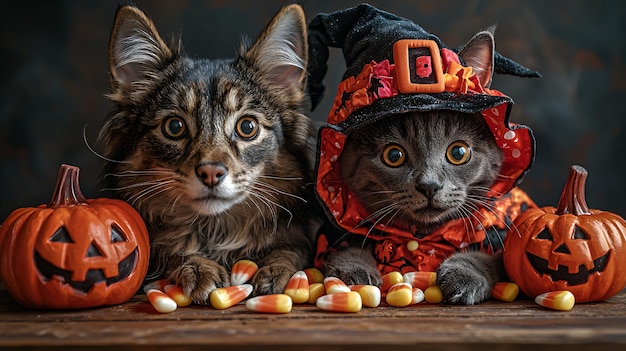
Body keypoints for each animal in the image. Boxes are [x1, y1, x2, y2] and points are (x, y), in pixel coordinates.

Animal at [99, 4, 314, 304]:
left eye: (247, 127)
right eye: (174, 127)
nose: (211, 173)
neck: (215, 227)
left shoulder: (298, 236)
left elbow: (290, 249)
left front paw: (277, 271)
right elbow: (172, 249)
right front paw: (200, 268)